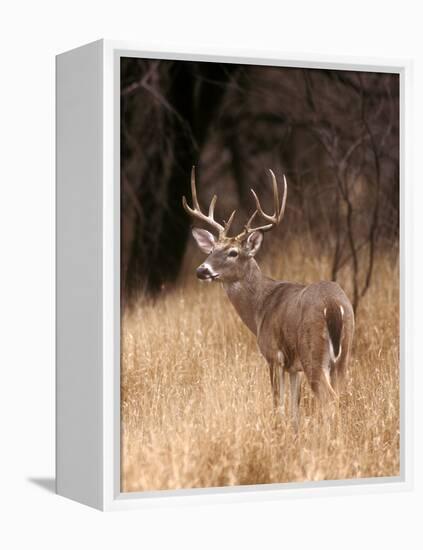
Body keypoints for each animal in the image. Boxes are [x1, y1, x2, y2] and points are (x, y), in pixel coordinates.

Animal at [182, 168, 354, 432]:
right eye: (211, 250)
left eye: (233, 253)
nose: (202, 270)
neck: (260, 308)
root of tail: (334, 305)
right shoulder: (293, 367)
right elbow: (294, 407)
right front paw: (294, 433)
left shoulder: (273, 354)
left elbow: (277, 403)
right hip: (343, 354)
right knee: (341, 396)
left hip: (313, 351)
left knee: (330, 399)